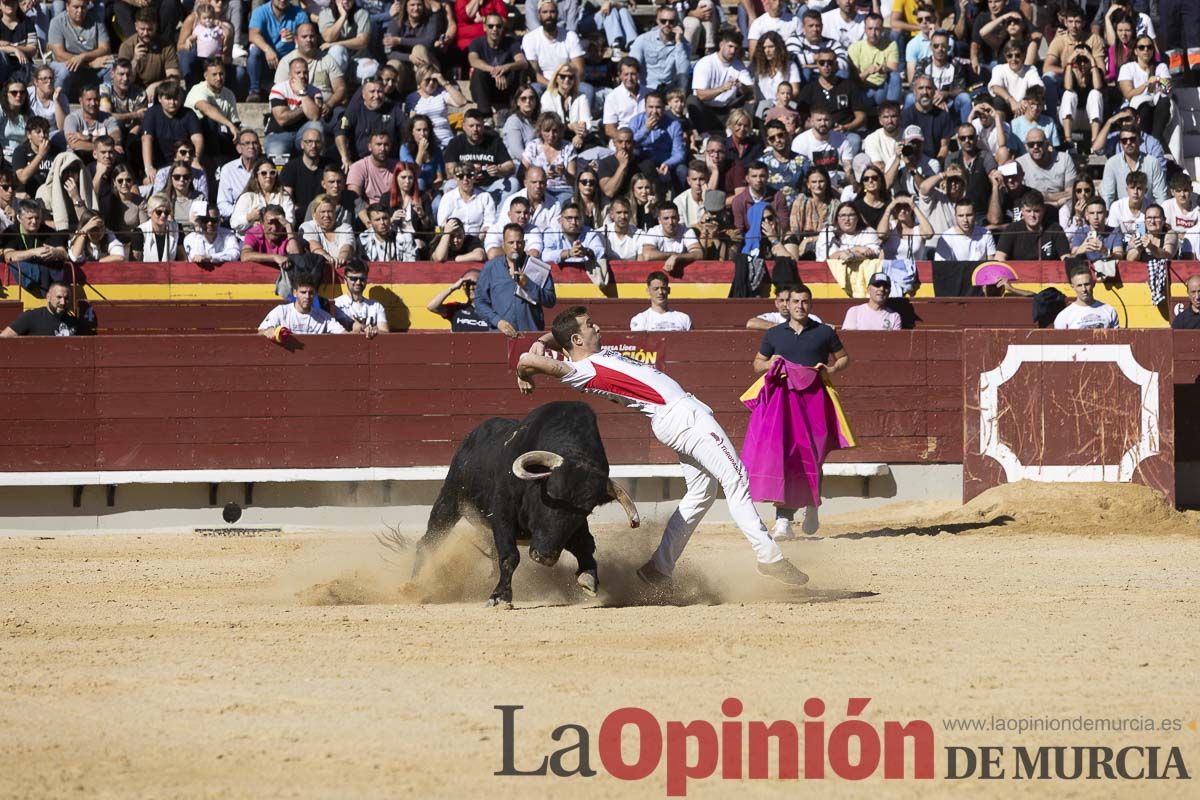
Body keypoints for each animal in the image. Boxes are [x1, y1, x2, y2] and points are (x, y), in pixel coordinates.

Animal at [410, 400, 638, 606]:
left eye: (586, 510)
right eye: (550, 494)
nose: (544, 556)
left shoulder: (572, 529)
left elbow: (586, 545)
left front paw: (588, 577)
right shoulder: (502, 516)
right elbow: (509, 556)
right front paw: (499, 597)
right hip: (449, 500)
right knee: (428, 542)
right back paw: (413, 586)